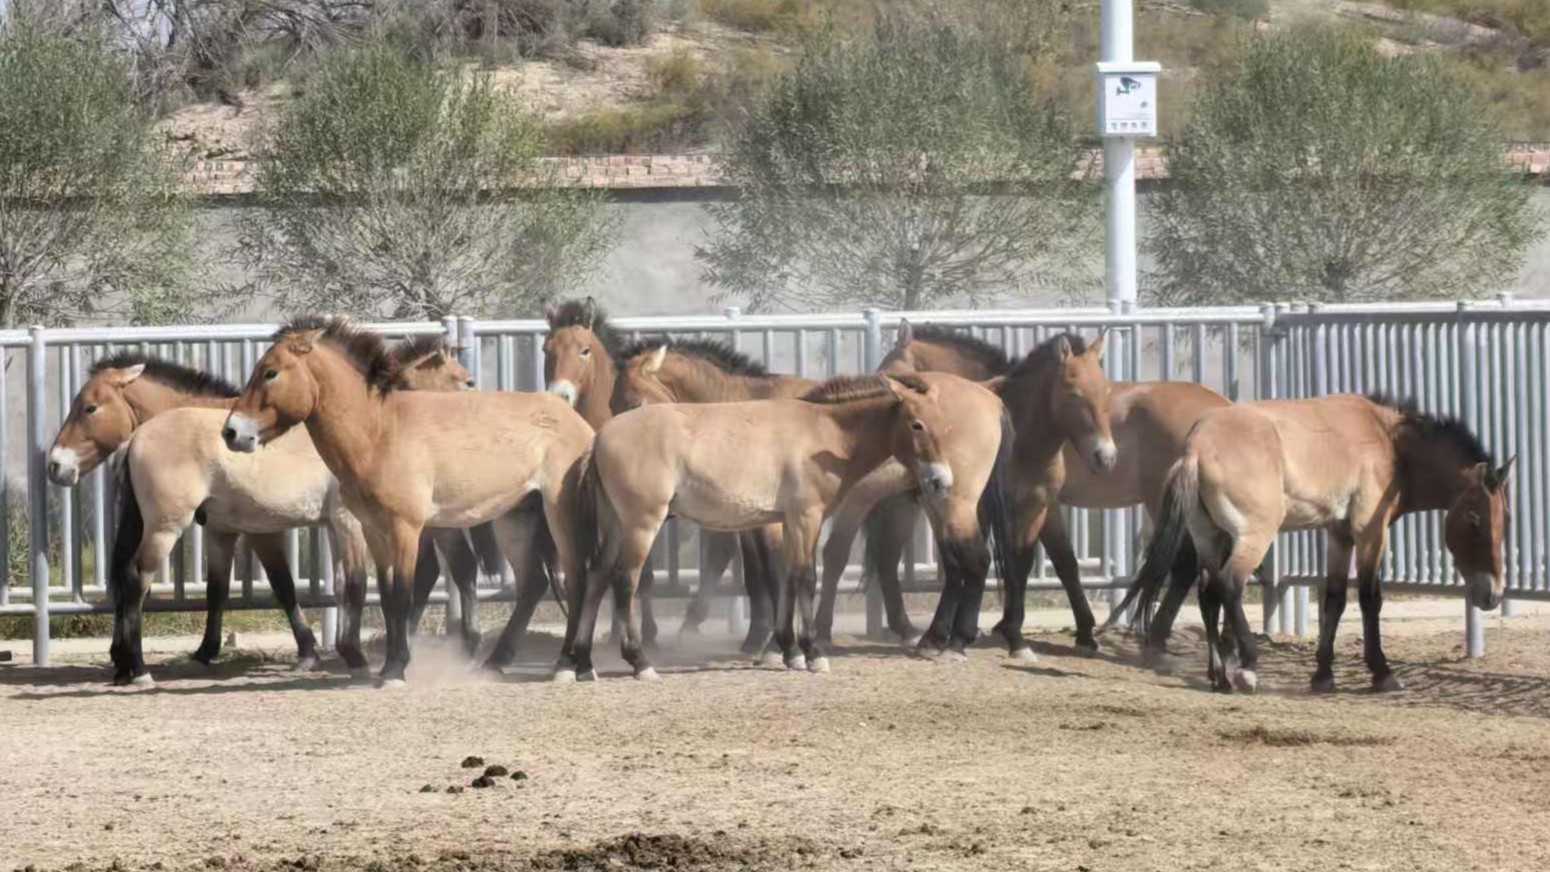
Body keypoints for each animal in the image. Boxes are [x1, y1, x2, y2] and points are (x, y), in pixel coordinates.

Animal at [82, 340, 496, 684]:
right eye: (465, 381)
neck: (370, 432)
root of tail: (137, 438)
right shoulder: (343, 524)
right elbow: (345, 585)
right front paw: (350, 655)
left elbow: (335, 585)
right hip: (165, 527)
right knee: (136, 578)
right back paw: (136, 669)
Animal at [222, 316, 593, 687]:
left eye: (270, 372)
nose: (231, 432)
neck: (379, 431)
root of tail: (579, 423)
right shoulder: (374, 530)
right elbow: (387, 597)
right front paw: (388, 666)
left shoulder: (405, 529)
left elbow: (402, 592)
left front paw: (395, 670)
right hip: (516, 519)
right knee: (534, 583)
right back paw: (495, 662)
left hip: (559, 514)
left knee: (576, 578)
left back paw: (567, 666)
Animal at [554, 371, 1011, 682]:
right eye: (917, 424)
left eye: (945, 424)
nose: (940, 481)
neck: (825, 433)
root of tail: (599, 438)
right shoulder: (806, 517)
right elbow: (805, 578)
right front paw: (812, 653)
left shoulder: (789, 522)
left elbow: (788, 577)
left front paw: (789, 649)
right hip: (641, 524)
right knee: (624, 580)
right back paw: (639, 662)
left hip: (617, 524)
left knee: (596, 576)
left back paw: (584, 664)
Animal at [1114, 393, 1513, 694]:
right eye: (1475, 521)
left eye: (1505, 520)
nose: (1492, 595)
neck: (1387, 441)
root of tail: (1196, 449)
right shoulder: (1370, 532)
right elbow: (1369, 598)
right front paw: (1382, 672)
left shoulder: (1339, 535)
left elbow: (1334, 599)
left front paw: (1323, 675)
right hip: (1253, 537)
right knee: (1229, 586)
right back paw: (1247, 669)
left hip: (1211, 538)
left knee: (1209, 593)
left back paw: (1220, 676)